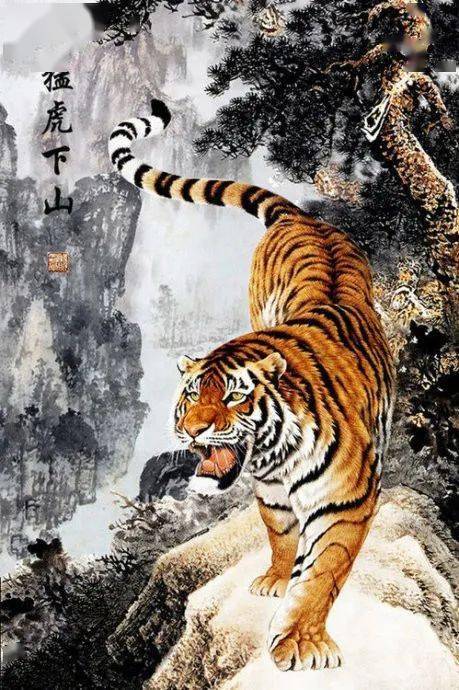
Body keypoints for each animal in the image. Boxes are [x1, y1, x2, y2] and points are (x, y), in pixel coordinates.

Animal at [109, 99, 396, 671]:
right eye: (191, 396)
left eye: (235, 397)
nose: (193, 433)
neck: (277, 454)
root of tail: (302, 216)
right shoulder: (271, 492)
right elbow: (281, 536)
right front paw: (275, 581)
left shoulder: (347, 501)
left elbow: (323, 570)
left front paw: (302, 641)